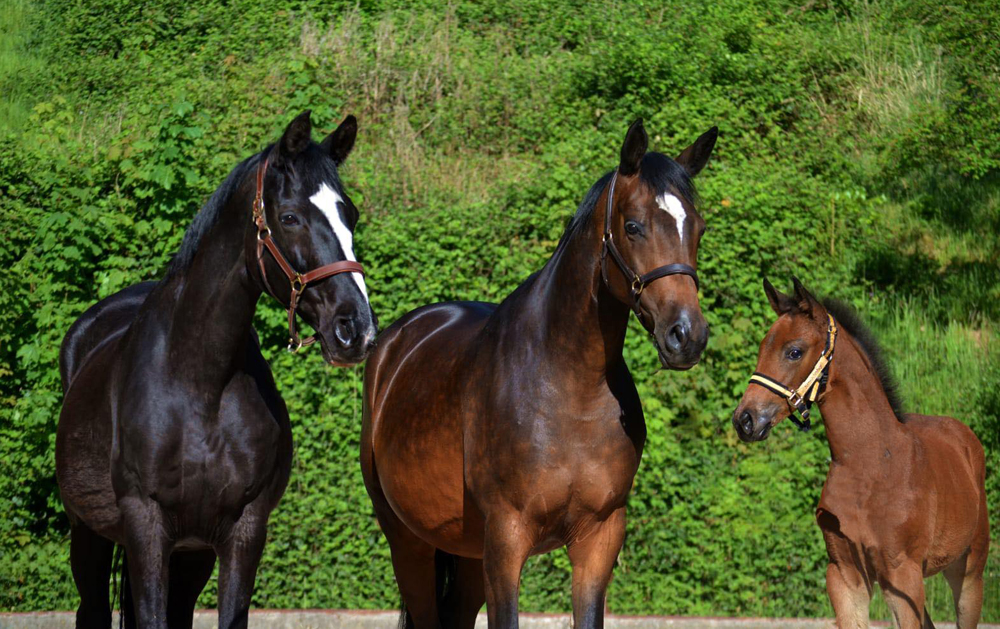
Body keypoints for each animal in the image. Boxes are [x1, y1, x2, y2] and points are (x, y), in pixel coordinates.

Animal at [58, 110, 378, 624]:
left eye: (350, 215)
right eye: (289, 217)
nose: (356, 329)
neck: (199, 384)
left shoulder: (242, 531)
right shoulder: (146, 525)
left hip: (190, 555)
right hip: (87, 533)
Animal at [360, 119, 720, 628]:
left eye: (699, 229)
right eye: (633, 226)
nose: (686, 335)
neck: (568, 388)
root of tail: (393, 345)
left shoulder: (599, 538)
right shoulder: (507, 538)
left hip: (465, 549)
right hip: (409, 541)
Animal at [732, 278, 988, 628]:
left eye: (794, 351)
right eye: (762, 348)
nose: (745, 420)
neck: (872, 466)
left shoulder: (902, 576)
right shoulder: (845, 575)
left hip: (969, 572)